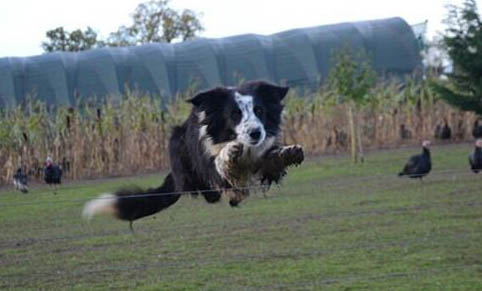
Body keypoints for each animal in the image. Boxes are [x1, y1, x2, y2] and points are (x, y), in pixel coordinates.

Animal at [82, 80, 302, 228]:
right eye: (234, 114)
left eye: (259, 110)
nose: (256, 132)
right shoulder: (210, 162)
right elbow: (221, 164)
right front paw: (230, 154)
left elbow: (270, 159)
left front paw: (288, 152)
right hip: (177, 143)